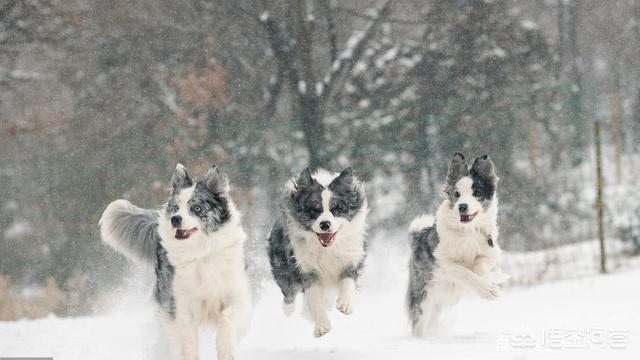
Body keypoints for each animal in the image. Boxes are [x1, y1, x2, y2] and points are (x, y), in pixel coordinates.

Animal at [99, 164, 250, 360]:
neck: (200, 251)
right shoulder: (180, 305)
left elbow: (228, 320)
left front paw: (225, 350)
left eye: (197, 208)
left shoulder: (236, 295)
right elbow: (188, 341)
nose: (175, 219)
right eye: (176, 207)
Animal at [268, 168, 370, 338]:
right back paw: (289, 309)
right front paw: (322, 326)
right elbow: (315, 299)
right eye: (313, 211)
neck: (326, 249)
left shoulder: (349, 260)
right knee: (288, 291)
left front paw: (345, 304)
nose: (325, 224)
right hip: (281, 263)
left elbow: (348, 283)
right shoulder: (306, 269)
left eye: (337, 209)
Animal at [408, 153, 508, 336]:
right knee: (419, 320)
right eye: (457, 193)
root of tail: (417, 235)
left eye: (476, 193)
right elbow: (464, 273)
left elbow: (480, 268)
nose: (462, 206)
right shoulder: (443, 260)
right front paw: (488, 291)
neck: (467, 231)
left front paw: (486, 281)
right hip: (423, 293)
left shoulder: (489, 251)